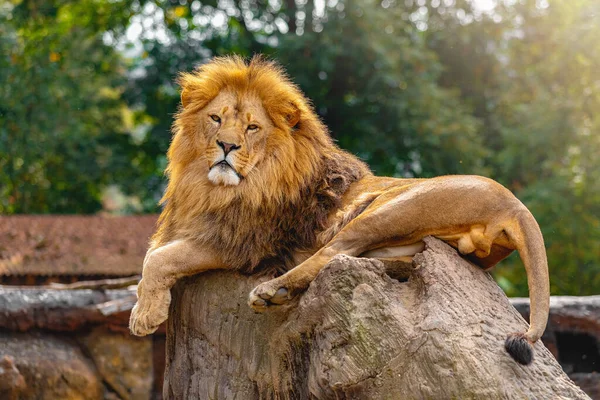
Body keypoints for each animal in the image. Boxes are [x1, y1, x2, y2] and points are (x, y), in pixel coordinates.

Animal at [130, 55, 548, 366]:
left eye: (251, 128)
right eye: (216, 118)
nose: (226, 146)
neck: (212, 188)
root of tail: (516, 205)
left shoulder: (241, 243)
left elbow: (160, 259)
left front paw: (144, 315)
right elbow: (154, 256)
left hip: (387, 207)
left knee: (332, 252)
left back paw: (272, 291)